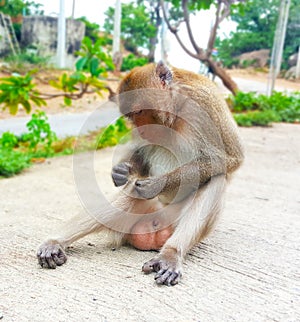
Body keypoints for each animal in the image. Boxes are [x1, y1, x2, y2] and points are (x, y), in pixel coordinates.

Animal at [37, 61, 244, 286]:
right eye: (131, 116)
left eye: (141, 111)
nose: (142, 128)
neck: (175, 111)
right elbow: (140, 152)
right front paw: (121, 171)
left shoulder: (205, 103)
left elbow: (230, 158)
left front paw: (157, 184)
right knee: (130, 194)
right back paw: (56, 242)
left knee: (216, 179)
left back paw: (170, 254)